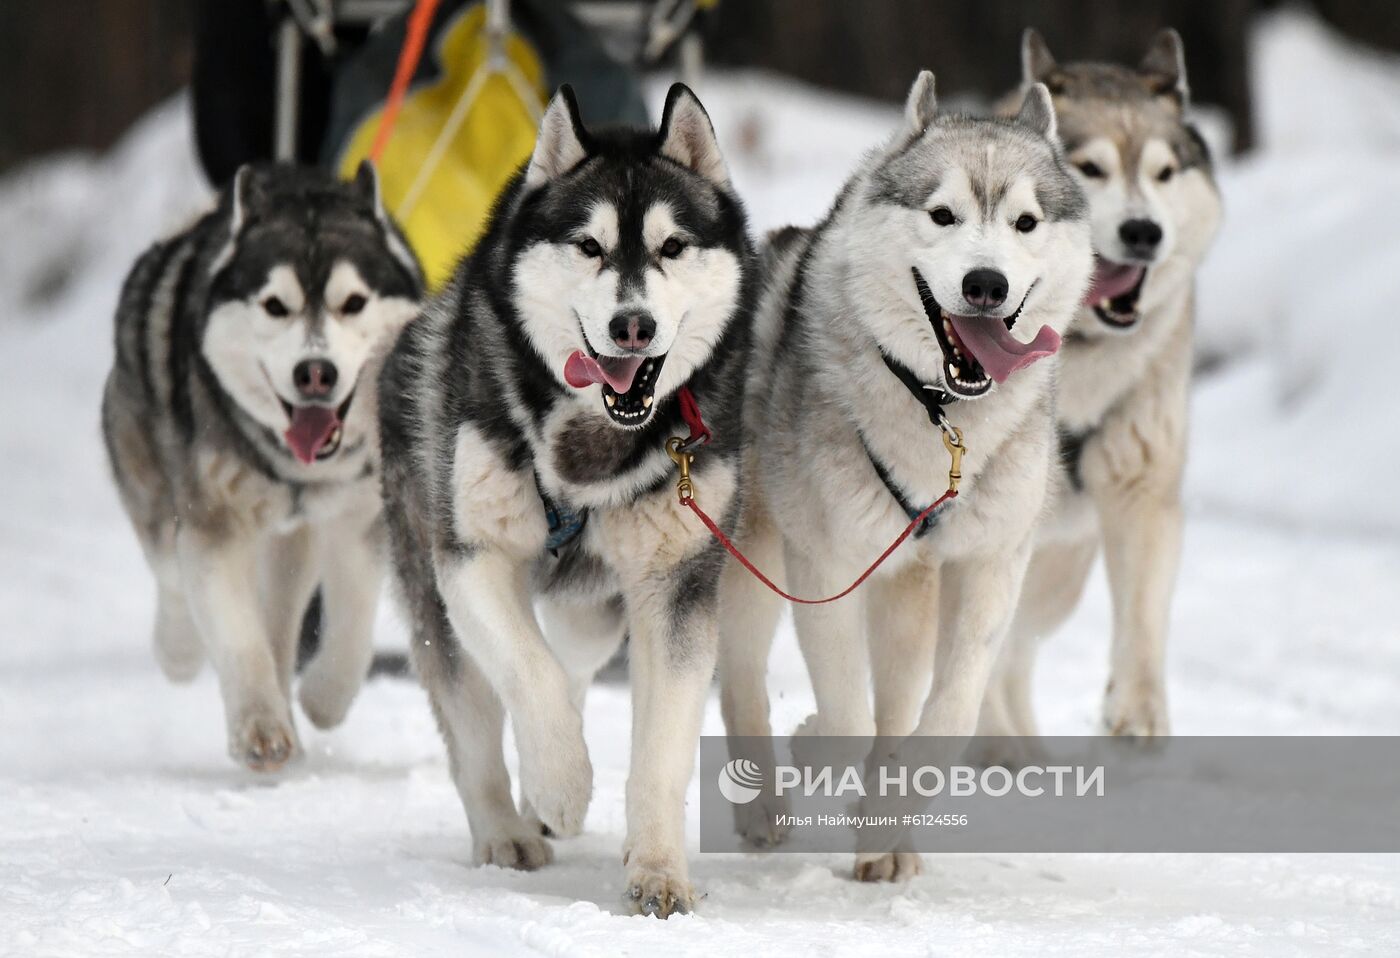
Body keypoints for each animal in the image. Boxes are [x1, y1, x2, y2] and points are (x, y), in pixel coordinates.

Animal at [102, 162, 420, 773]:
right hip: (150, 481)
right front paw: (260, 730)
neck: (296, 469)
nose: (315, 372)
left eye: (353, 303)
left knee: (280, 619)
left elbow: (352, 620)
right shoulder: (213, 527)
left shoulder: (357, 516)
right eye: (276, 306)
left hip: (291, 544)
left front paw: (324, 697)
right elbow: (237, 635)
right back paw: (179, 651)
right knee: (172, 573)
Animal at [378, 82, 756, 913]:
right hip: (436, 594)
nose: (632, 325)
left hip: (596, 611)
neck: (593, 445)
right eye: (588, 246)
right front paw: (561, 784)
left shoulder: (677, 584)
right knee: (477, 716)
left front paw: (658, 870)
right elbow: (529, 672)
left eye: (672, 247)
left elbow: (658, 748)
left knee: (575, 663)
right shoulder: (471, 558)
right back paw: (507, 828)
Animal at [722, 72, 1092, 885]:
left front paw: (887, 814)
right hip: (756, 563)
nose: (985, 284)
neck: (940, 416)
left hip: (909, 587)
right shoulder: (827, 567)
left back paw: (885, 841)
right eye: (942, 213)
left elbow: (945, 716)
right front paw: (817, 745)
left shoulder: (988, 566)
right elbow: (845, 719)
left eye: (1024, 221)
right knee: (741, 680)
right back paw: (763, 806)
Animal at [980, 29, 1220, 745]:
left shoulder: (1143, 492)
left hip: (1059, 576)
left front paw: (1137, 713)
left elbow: (1142, 617)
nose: (1144, 232)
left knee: (1017, 653)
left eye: (1164, 174)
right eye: (1091, 169)